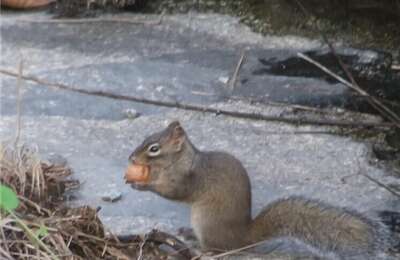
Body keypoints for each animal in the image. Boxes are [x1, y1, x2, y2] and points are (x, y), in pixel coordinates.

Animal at [126, 121, 396, 258]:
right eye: (146, 137)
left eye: (154, 148)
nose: (131, 157)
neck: (183, 160)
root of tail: (244, 238)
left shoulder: (188, 180)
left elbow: (174, 192)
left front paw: (141, 184)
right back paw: (189, 234)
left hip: (206, 221)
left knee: (219, 250)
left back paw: (199, 248)